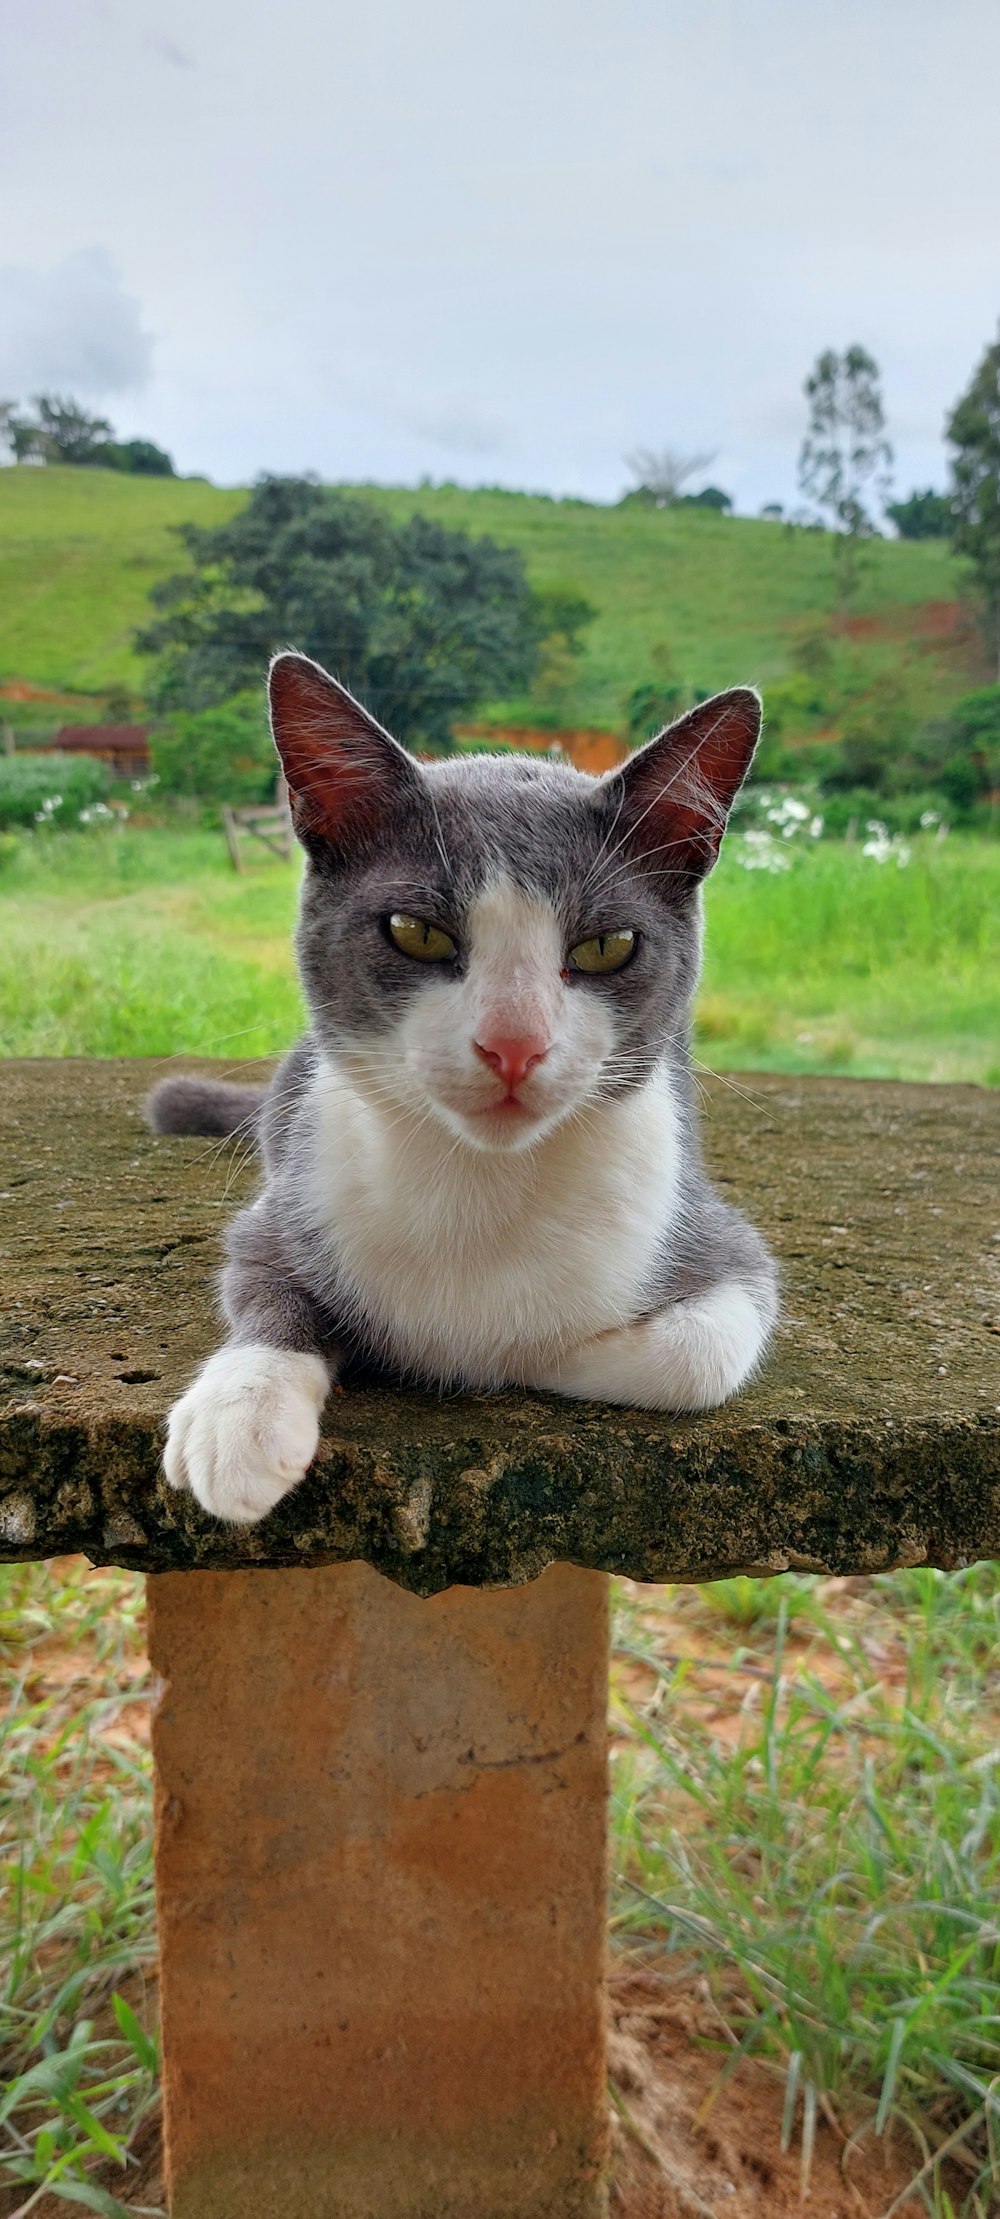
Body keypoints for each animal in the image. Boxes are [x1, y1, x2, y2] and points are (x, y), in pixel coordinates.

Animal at [148, 647, 780, 1526]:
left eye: (607, 945)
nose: (513, 1045)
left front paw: (514, 1351)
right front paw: (241, 1413)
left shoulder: (707, 1231)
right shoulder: (285, 1206)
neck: (483, 1181)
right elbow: (262, 1284)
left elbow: (699, 1353)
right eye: (416, 932)